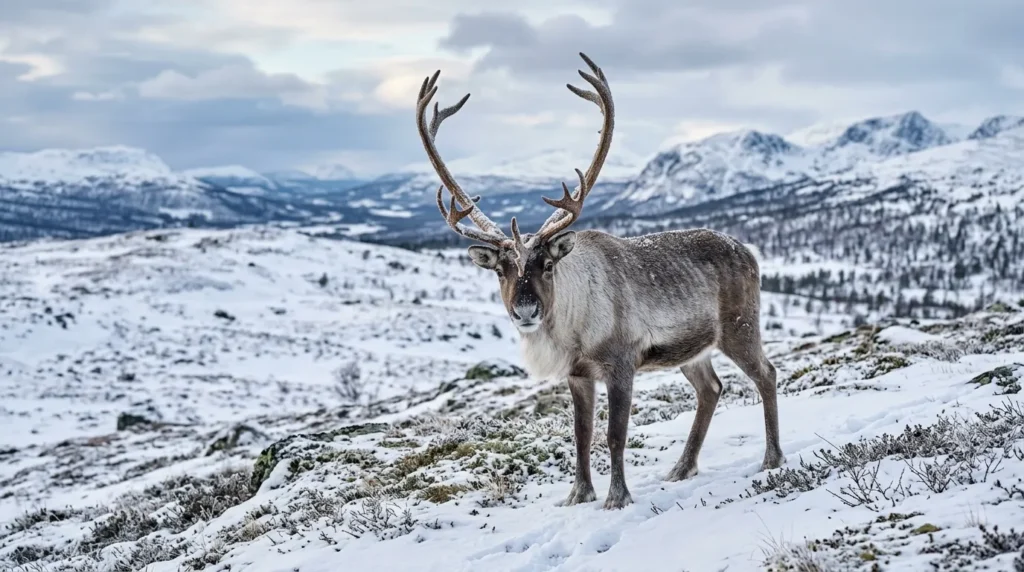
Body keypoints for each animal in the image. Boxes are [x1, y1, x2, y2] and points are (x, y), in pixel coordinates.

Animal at [414, 52, 785, 510]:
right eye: (501, 270)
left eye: (547, 265)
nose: (525, 310)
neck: (572, 331)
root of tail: (748, 251)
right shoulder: (577, 375)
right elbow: (581, 434)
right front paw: (578, 495)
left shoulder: (621, 364)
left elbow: (614, 435)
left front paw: (617, 497)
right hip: (693, 349)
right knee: (711, 389)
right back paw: (682, 468)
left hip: (740, 327)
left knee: (766, 374)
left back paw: (772, 458)